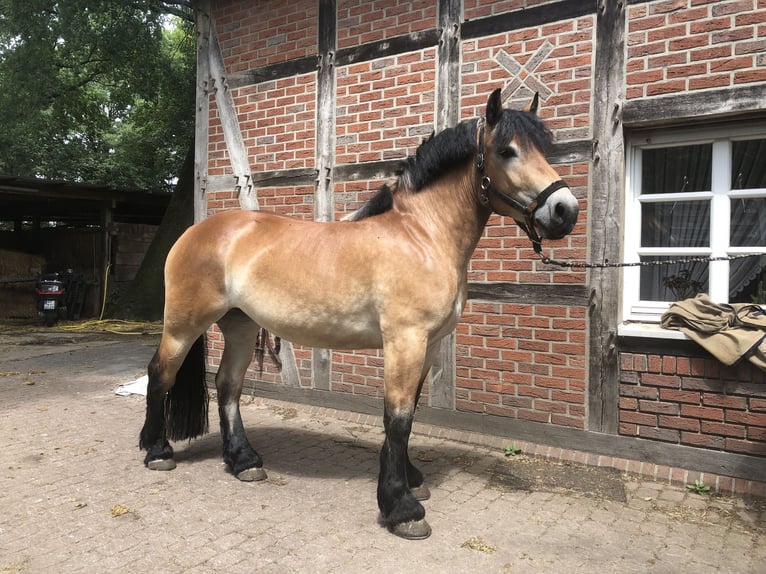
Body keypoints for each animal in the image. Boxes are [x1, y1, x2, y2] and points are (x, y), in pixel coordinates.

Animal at [140, 89, 584, 540]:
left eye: (544, 148)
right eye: (506, 151)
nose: (565, 210)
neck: (422, 236)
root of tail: (197, 231)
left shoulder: (428, 345)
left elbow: (410, 413)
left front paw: (411, 480)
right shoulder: (405, 340)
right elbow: (398, 417)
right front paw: (402, 508)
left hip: (241, 326)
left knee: (227, 386)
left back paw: (244, 461)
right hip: (183, 324)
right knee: (161, 374)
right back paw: (158, 452)